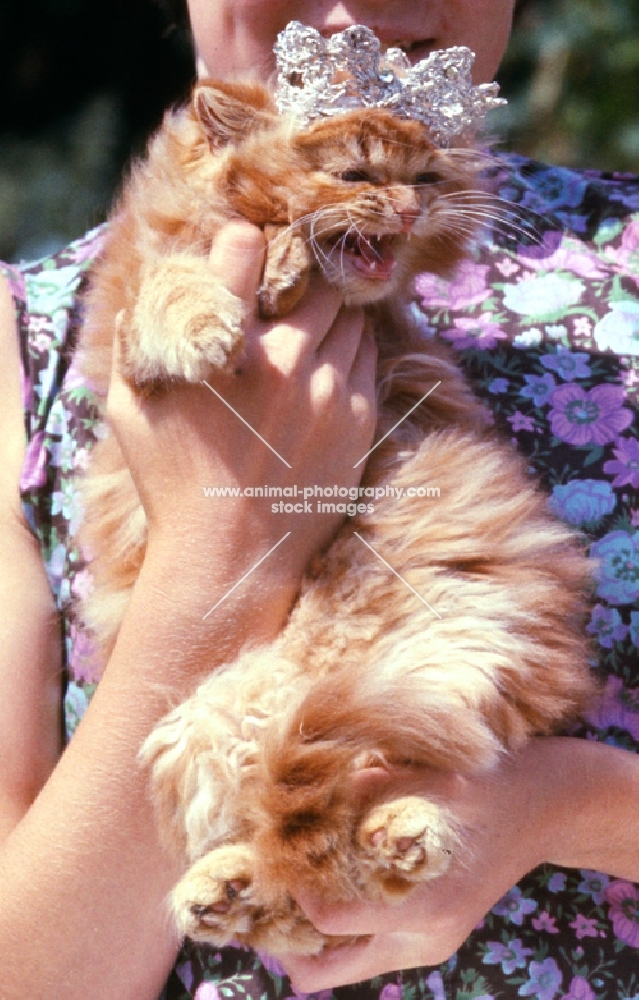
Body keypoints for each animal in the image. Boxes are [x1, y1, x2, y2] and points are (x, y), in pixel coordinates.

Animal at [79, 66, 596, 956]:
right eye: (356, 174)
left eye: (427, 177)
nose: (410, 206)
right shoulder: (132, 313)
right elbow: (169, 281)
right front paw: (211, 319)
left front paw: (281, 271)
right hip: (214, 717)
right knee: (297, 872)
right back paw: (230, 888)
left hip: (430, 671)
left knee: (341, 842)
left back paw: (397, 835)